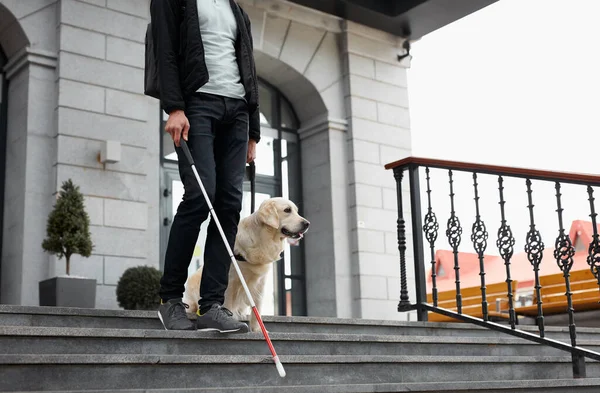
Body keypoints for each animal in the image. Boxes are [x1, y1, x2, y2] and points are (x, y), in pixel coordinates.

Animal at [182, 196, 310, 330]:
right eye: (287, 210)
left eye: (296, 211)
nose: (307, 224)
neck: (263, 238)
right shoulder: (231, 281)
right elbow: (228, 304)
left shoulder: (260, 282)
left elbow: (257, 307)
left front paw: (257, 330)